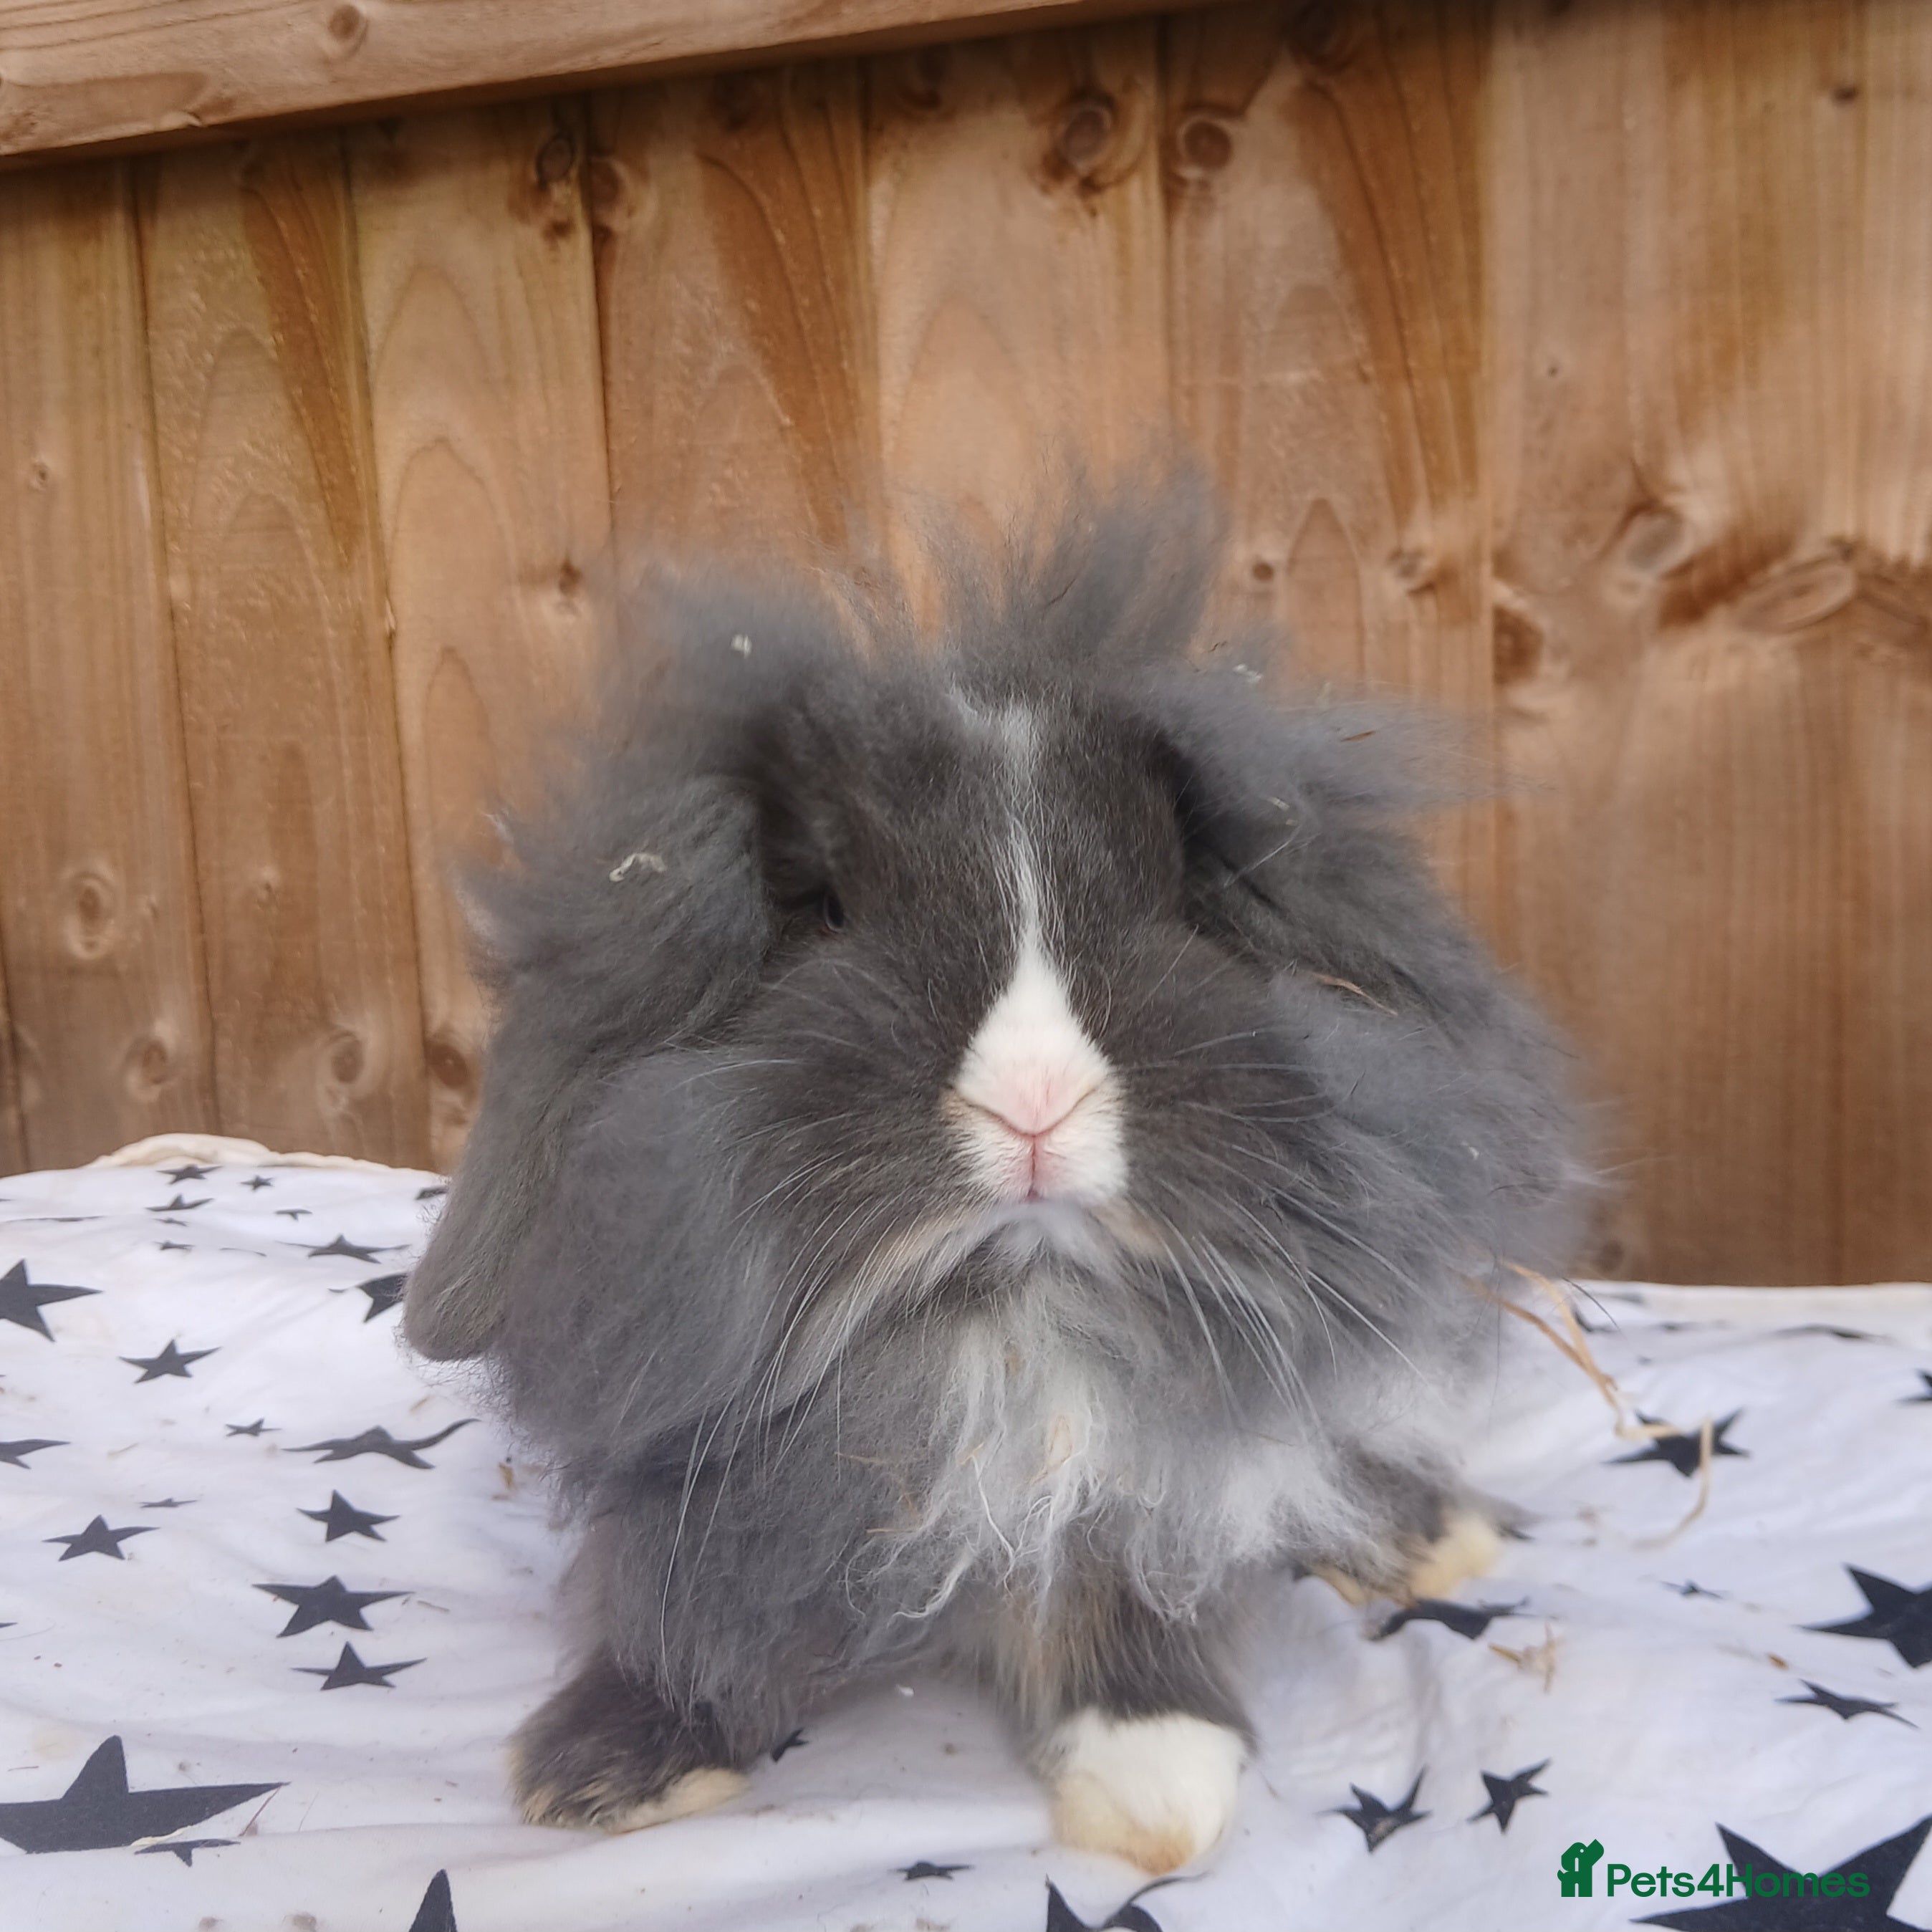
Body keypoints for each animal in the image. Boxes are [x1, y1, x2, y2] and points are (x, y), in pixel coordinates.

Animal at [403, 481, 1584, 1874]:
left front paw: (1156, 1786)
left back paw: (1435, 1540)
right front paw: (604, 1772)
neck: (1009, 1323)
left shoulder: (1145, 1482)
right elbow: (686, 1620)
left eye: (1174, 902)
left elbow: (1128, 1595)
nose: (1031, 1103)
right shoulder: (709, 1507)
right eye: (826, 909)